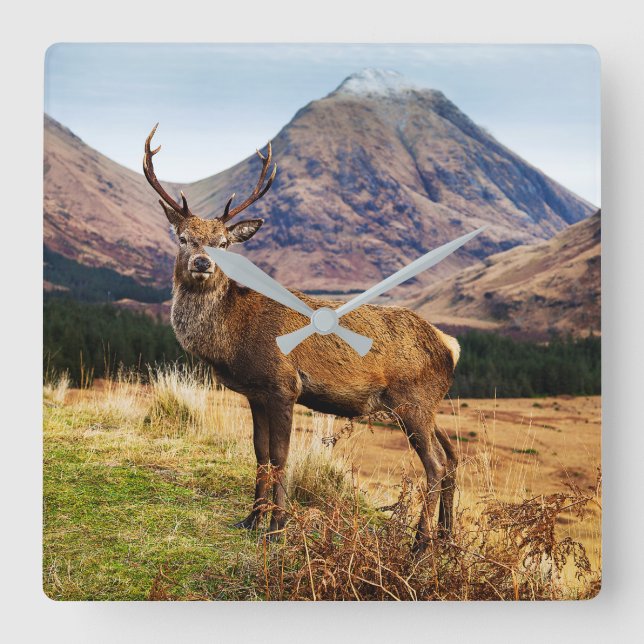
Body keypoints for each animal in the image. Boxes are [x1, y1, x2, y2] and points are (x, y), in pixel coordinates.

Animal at [143, 125, 461, 550]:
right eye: (182, 238)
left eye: (224, 244)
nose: (203, 263)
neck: (232, 340)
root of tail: (450, 346)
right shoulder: (255, 392)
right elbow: (260, 453)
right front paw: (251, 519)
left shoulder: (283, 384)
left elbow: (280, 454)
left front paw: (277, 526)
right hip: (427, 406)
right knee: (453, 454)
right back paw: (446, 537)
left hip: (412, 400)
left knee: (436, 464)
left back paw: (420, 543)